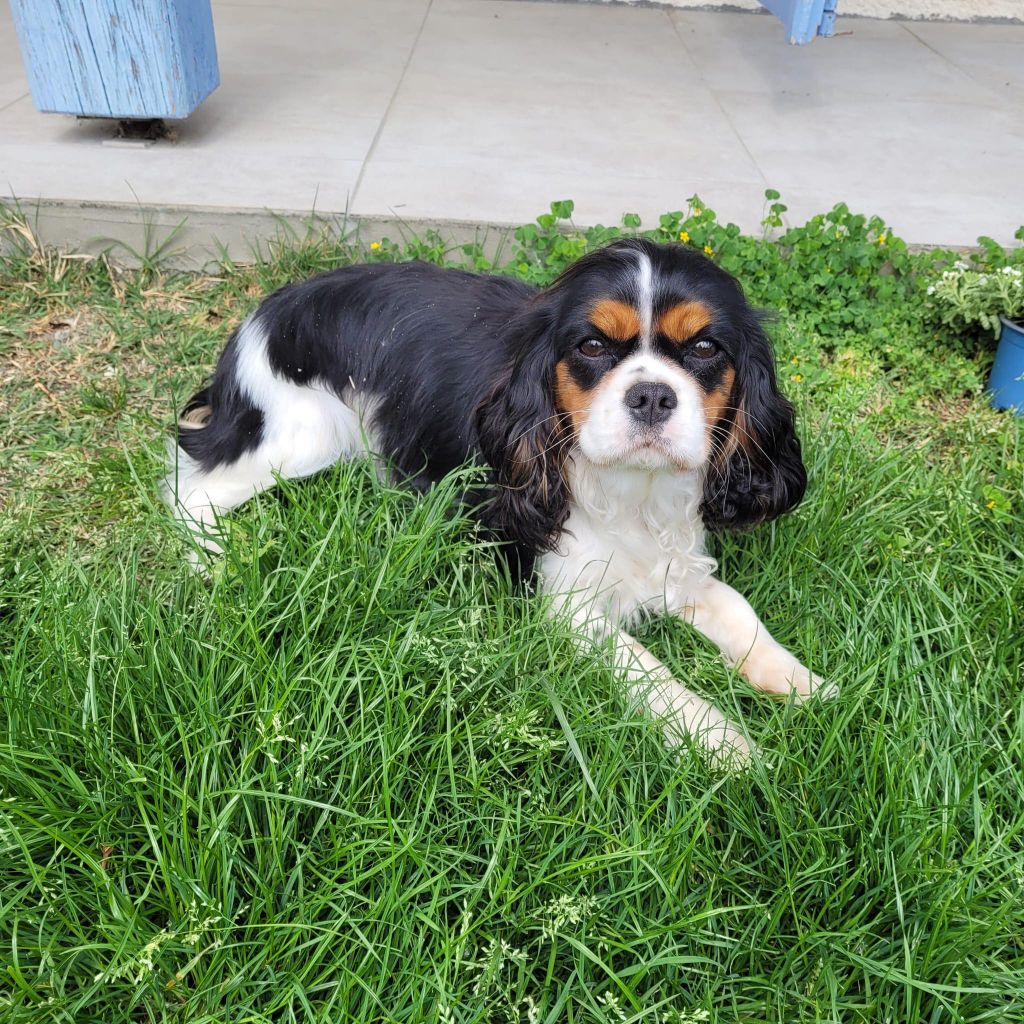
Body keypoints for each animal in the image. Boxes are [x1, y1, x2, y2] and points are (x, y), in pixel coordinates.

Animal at [161, 235, 831, 757]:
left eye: (705, 348)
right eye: (591, 347)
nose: (652, 395)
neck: (630, 490)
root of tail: (264, 311)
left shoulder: (677, 564)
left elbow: (737, 609)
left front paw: (801, 682)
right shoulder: (565, 605)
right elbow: (648, 668)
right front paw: (721, 741)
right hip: (303, 435)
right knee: (192, 484)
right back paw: (209, 562)